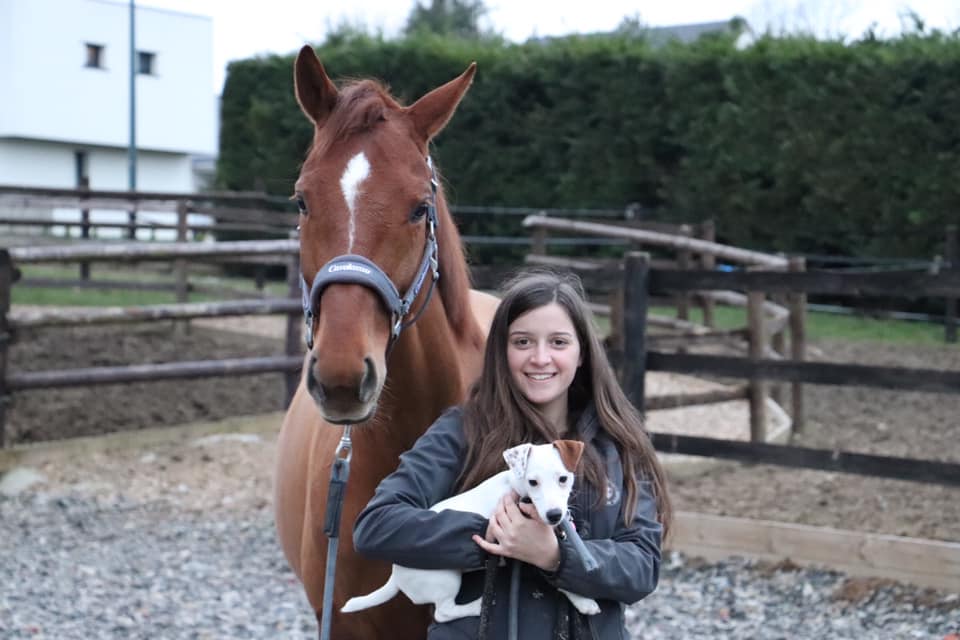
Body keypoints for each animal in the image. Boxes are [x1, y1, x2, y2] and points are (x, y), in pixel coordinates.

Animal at [342, 440, 600, 620]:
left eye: (563, 479)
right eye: (533, 482)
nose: (554, 515)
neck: (518, 492)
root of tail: (395, 576)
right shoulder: (524, 550)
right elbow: (556, 579)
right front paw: (584, 601)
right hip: (445, 578)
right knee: (444, 612)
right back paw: (478, 607)